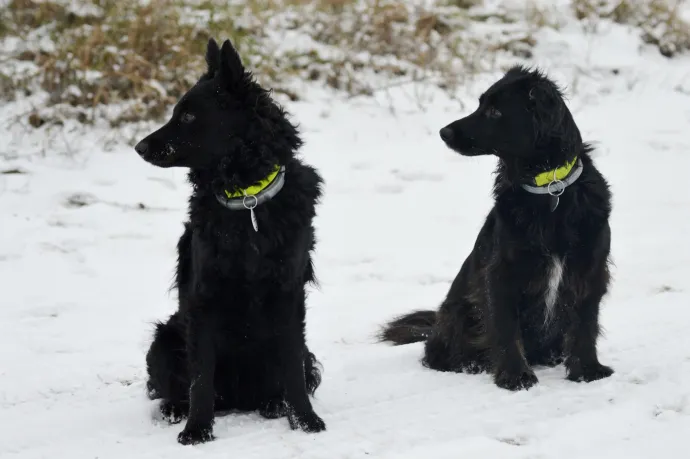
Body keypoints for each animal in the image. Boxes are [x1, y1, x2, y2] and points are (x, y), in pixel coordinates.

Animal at [138, 38, 326, 446]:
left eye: (188, 117)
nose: (139, 147)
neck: (247, 202)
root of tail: (239, 398)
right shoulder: (203, 300)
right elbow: (200, 381)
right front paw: (197, 429)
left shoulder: (289, 297)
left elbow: (292, 372)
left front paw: (305, 421)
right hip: (164, 339)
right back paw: (175, 409)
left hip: (302, 351)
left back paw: (273, 404)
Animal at [382, 66, 612, 392]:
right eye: (480, 104)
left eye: (494, 111)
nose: (443, 132)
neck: (549, 190)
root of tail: (436, 324)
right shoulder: (501, 274)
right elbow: (505, 329)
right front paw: (515, 376)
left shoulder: (589, 269)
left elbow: (585, 325)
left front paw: (587, 370)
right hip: (457, 314)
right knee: (438, 354)